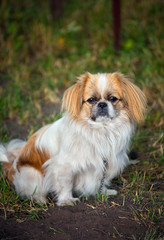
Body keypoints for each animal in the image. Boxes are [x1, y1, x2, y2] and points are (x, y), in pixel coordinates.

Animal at [0, 72, 146, 205]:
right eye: (91, 100)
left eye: (112, 98)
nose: (102, 104)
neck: (101, 130)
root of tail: (12, 166)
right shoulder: (64, 165)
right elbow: (66, 184)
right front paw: (67, 200)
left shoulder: (106, 163)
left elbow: (101, 179)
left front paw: (103, 191)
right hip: (31, 174)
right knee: (30, 190)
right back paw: (39, 199)